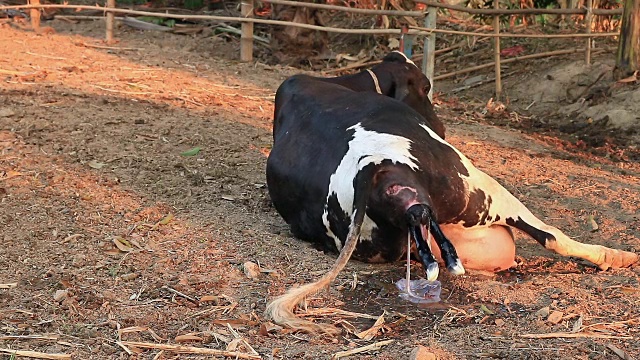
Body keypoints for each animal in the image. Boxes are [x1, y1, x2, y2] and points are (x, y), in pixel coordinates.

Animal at [262, 62, 636, 338]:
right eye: (425, 87)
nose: (440, 124)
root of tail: (372, 168)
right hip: (482, 189)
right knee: (551, 236)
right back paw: (618, 256)